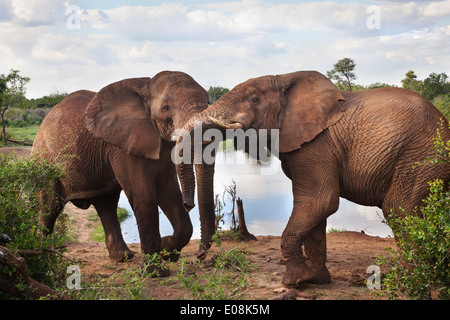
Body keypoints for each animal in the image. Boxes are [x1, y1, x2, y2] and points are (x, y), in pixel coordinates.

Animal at [32, 71, 216, 276]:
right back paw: (43, 260)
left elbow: (169, 194)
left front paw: (167, 251)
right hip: (45, 159)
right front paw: (155, 272)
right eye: (166, 108)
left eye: (209, 101)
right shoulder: (123, 146)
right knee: (50, 206)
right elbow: (145, 197)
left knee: (106, 204)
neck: (146, 87)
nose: (200, 256)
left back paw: (123, 257)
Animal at [182, 71, 450, 286]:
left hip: (421, 158)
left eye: (255, 100)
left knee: (399, 209)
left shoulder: (316, 145)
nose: (200, 256)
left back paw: (409, 282)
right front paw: (316, 280)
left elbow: (319, 200)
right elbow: (315, 210)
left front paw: (294, 282)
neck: (285, 78)